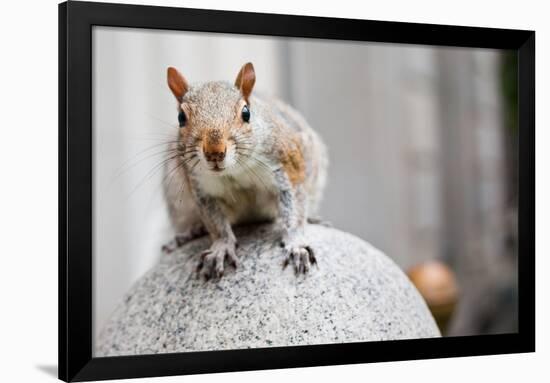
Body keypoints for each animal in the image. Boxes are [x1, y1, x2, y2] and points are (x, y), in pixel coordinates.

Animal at [163, 62, 328, 280]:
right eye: (181, 117)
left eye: (246, 113)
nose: (214, 152)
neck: (234, 170)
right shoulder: (202, 188)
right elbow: (216, 223)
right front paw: (221, 248)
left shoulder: (288, 165)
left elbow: (294, 207)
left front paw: (296, 244)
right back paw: (191, 231)